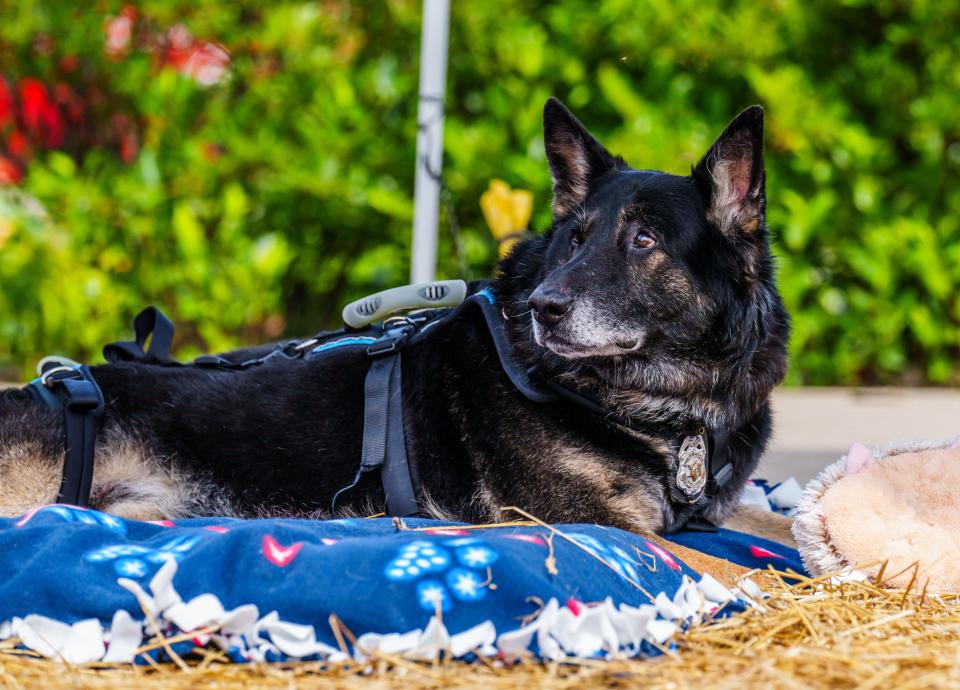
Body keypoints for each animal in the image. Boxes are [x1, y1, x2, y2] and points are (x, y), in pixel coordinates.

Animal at [0, 101, 788, 532]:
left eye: (644, 241)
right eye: (574, 239)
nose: (543, 308)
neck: (669, 409)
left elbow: (768, 523)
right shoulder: (606, 526)